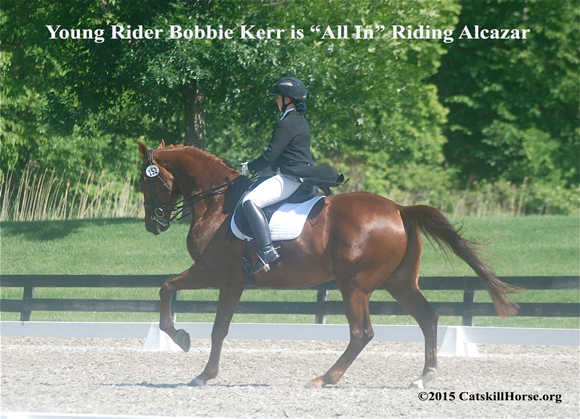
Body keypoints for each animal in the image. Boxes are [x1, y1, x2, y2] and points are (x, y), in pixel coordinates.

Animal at [138, 142, 520, 390]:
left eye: (145, 180)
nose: (153, 225)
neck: (217, 201)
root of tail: (399, 208)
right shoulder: (231, 281)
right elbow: (216, 325)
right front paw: (202, 368)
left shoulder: (215, 273)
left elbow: (171, 291)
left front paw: (184, 343)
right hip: (398, 282)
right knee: (427, 317)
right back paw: (423, 376)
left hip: (354, 285)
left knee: (362, 332)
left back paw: (325, 378)